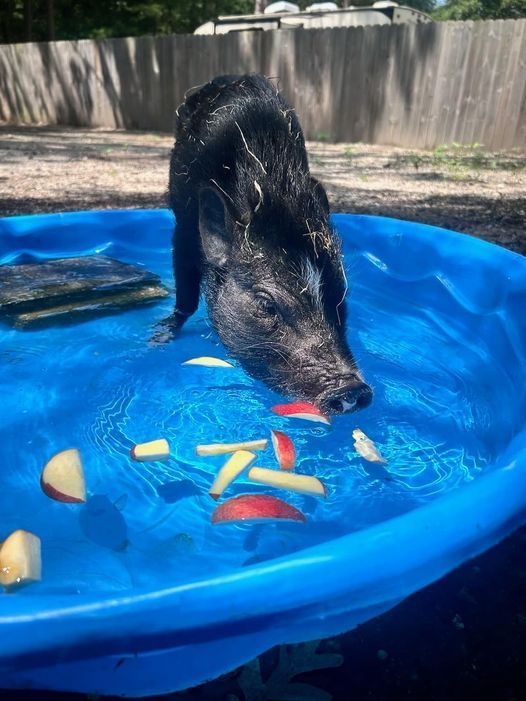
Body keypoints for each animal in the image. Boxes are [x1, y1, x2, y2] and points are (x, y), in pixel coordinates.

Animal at [158, 73, 372, 414]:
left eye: (340, 298)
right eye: (266, 304)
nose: (354, 389)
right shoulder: (184, 228)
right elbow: (186, 295)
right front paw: (157, 339)